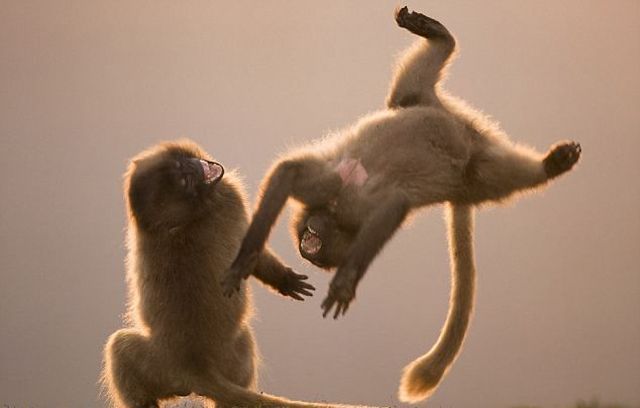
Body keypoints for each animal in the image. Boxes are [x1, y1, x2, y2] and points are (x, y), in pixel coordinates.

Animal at [102, 140, 376, 408]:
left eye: (183, 168)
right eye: (186, 181)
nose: (195, 168)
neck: (184, 219)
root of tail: (195, 365)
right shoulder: (231, 196)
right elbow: (250, 251)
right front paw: (283, 279)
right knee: (119, 345)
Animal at [221, 7, 581, 404]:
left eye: (314, 243)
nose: (308, 243)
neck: (335, 207)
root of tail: (468, 130)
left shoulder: (350, 203)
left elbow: (391, 203)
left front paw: (342, 280)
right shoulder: (334, 194)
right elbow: (293, 174)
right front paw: (248, 259)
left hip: (455, 147)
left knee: (489, 166)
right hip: (439, 121)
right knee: (417, 103)